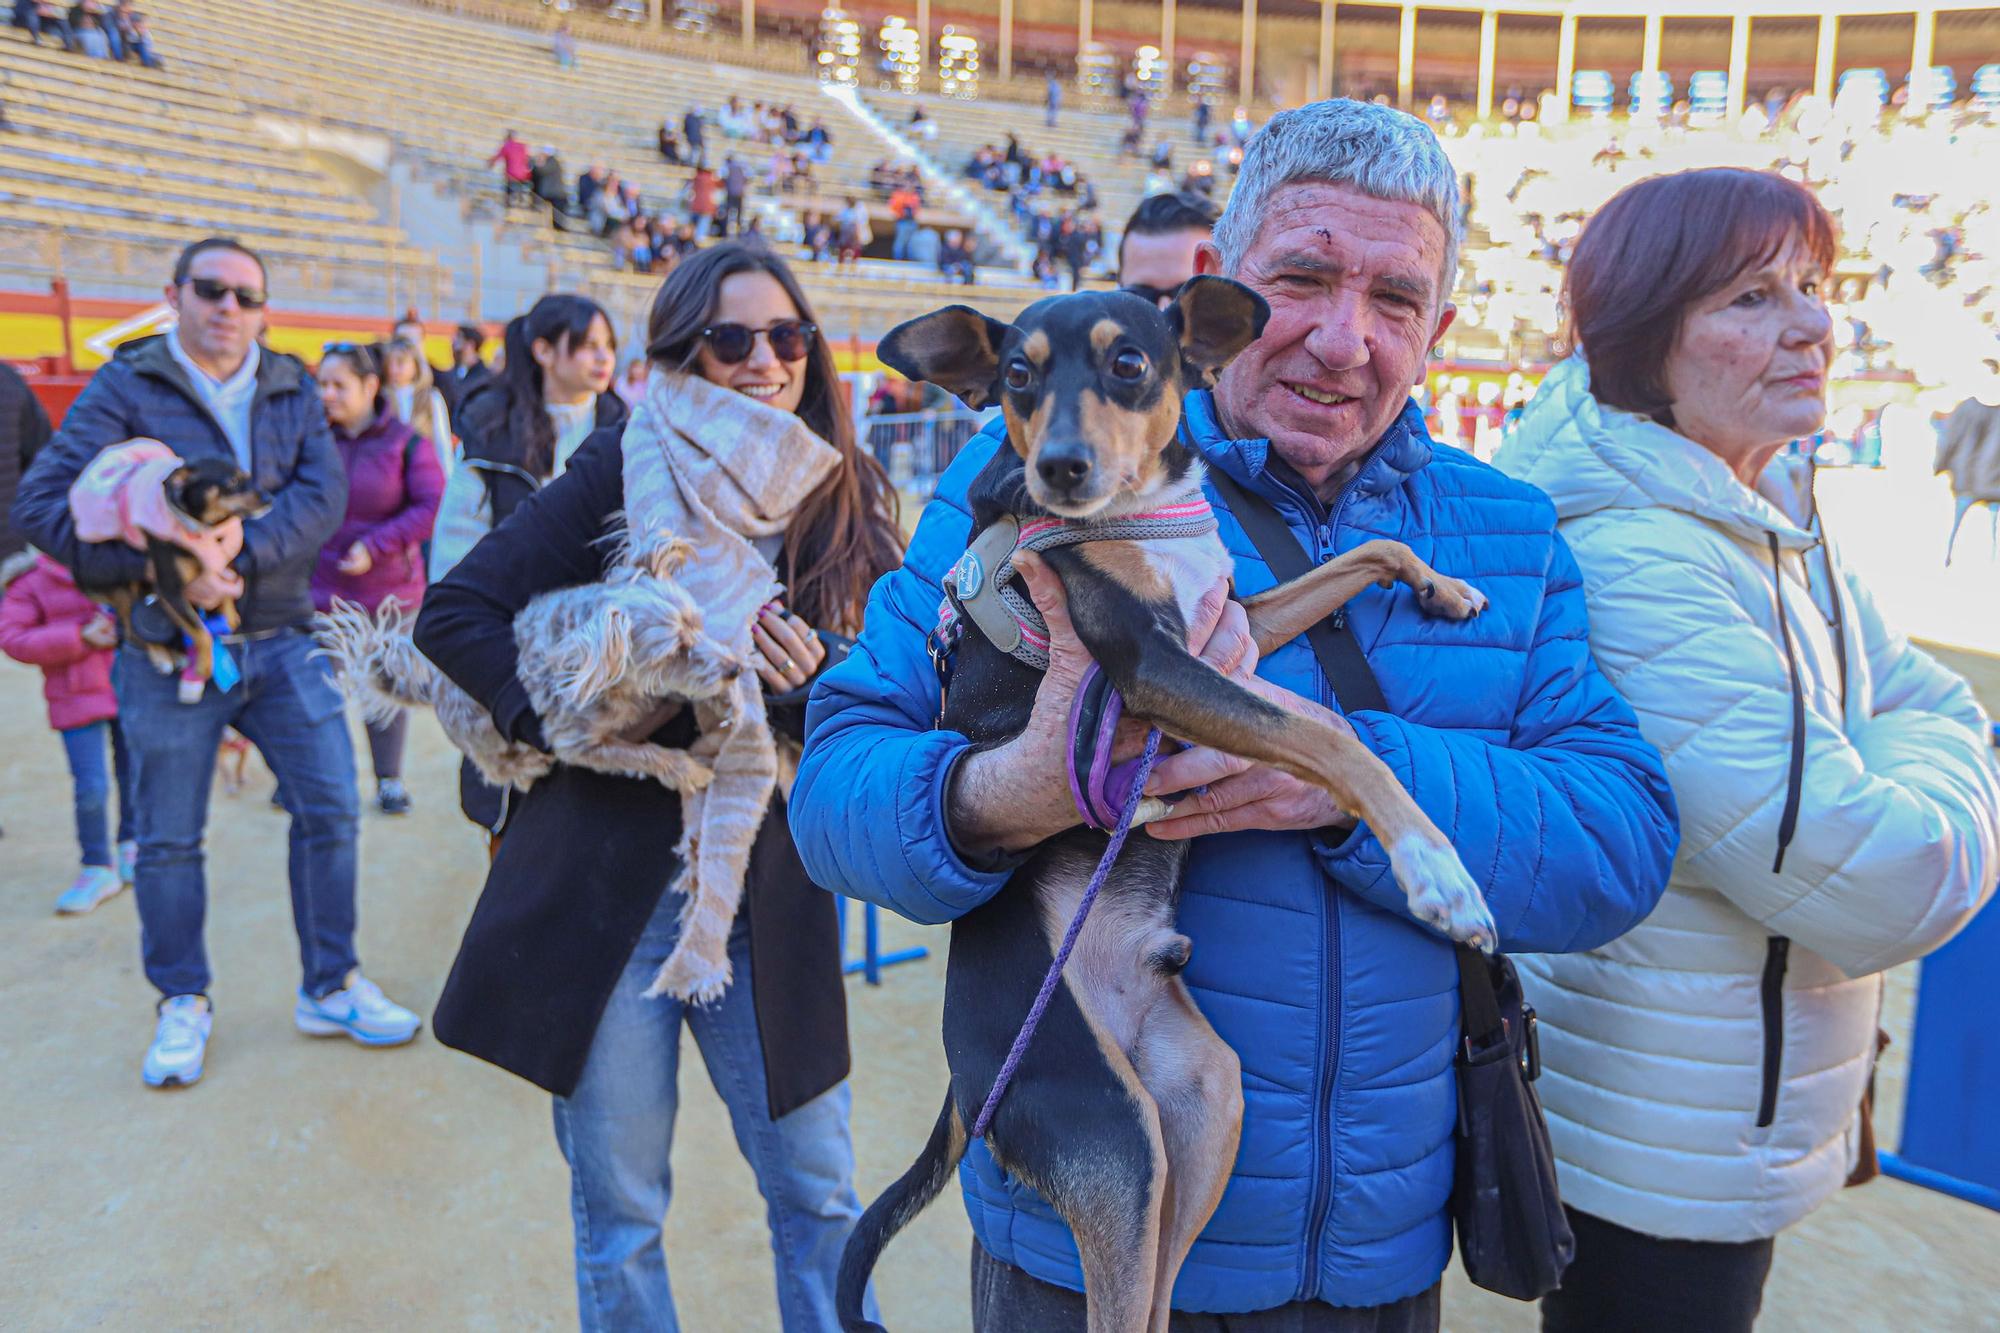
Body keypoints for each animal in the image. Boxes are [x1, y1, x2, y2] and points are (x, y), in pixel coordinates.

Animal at [90, 456, 272, 684]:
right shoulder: (170, 590)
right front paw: (204, 667)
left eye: (247, 477)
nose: (269, 499)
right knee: (131, 630)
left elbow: (225, 597)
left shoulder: (222, 563)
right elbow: (200, 630)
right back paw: (162, 657)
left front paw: (230, 617)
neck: (204, 527)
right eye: (232, 481)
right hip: (123, 588)